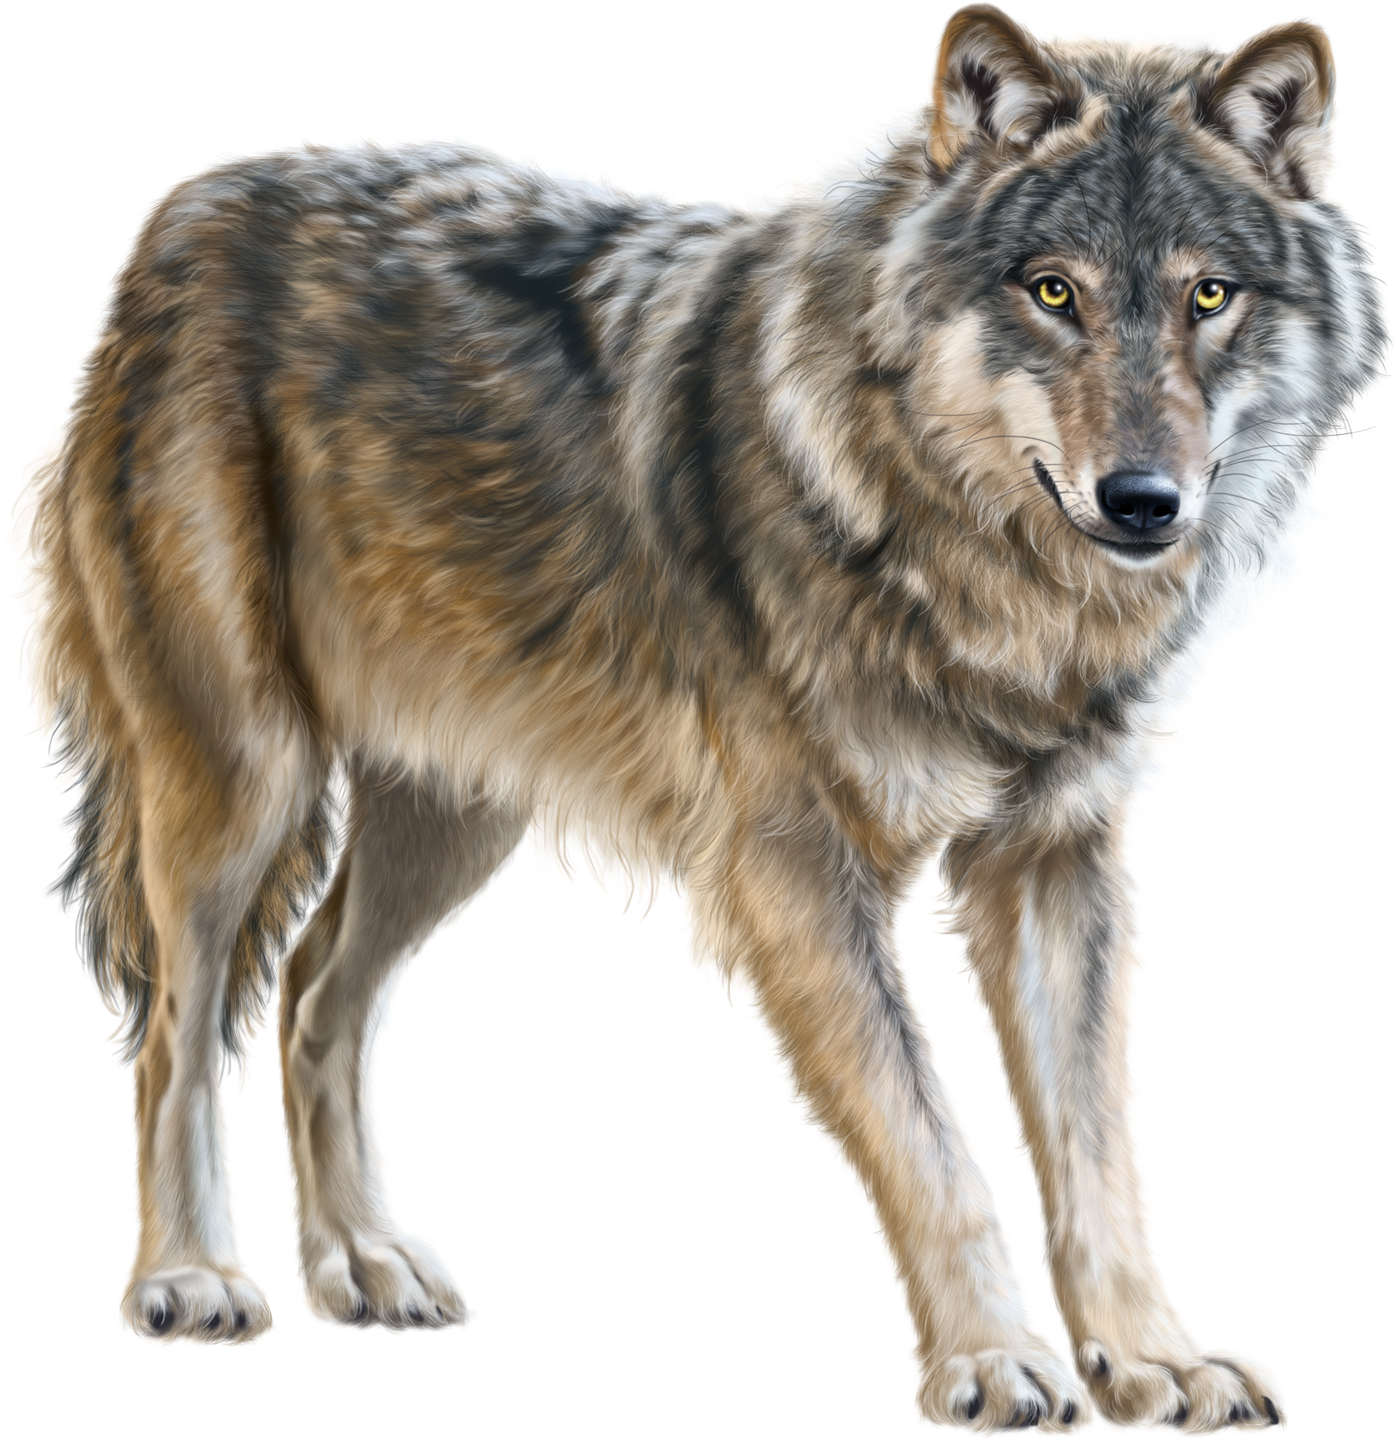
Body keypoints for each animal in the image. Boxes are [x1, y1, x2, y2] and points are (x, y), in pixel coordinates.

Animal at [8, 3, 1386, 1433]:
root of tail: (191, 208)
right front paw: (996, 1364)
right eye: (1051, 290)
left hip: (451, 820)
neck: (974, 572)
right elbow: (932, 1139)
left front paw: (1152, 1359)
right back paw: (190, 1279)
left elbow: (1099, 1152)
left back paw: (364, 1267)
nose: (1143, 501)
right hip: (245, 785)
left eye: (1207, 297)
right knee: (177, 1028)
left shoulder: (1057, 865)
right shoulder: (794, 874)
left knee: (316, 987)